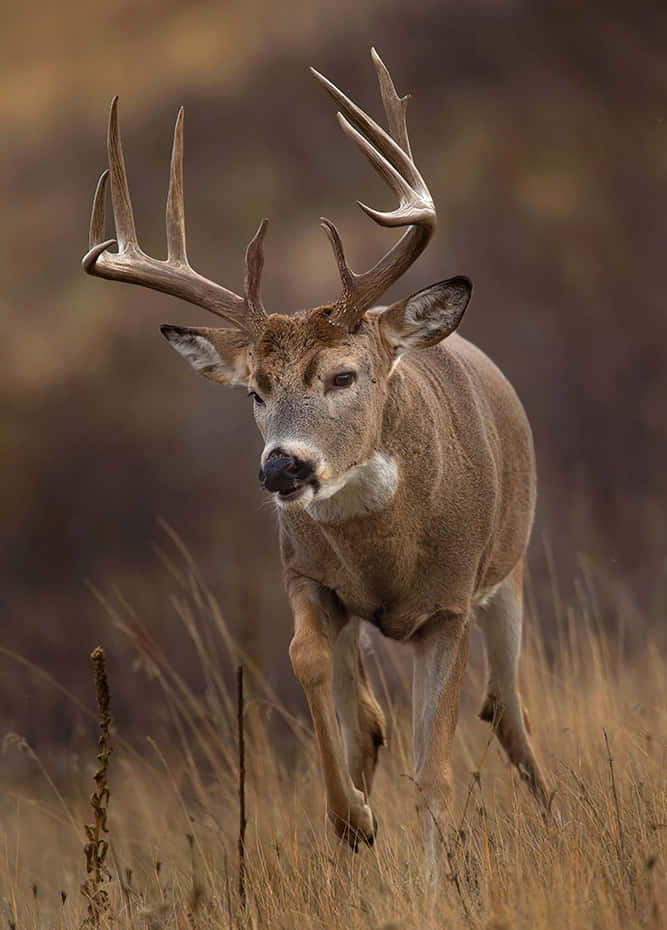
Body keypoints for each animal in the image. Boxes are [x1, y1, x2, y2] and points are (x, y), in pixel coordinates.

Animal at [82, 48, 549, 865]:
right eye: (253, 392)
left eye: (343, 375)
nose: (281, 469)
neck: (390, 558)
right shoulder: (307, 574)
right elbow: (312, 668)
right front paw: (353, 819)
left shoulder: (451, 604)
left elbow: (434, 770)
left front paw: (429, 873)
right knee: (371, 717)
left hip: (509, 570)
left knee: (507, 711)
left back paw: (552, 818)